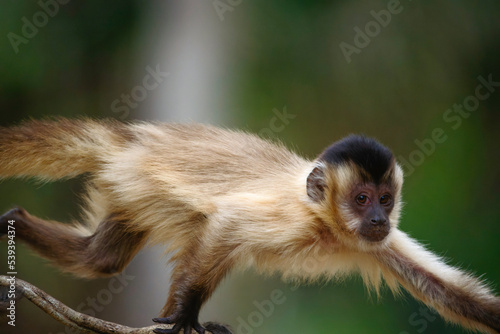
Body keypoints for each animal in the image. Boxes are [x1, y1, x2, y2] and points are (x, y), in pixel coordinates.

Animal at [0, 118, 498, 334]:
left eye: (385, 199)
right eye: (361, 199)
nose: (377, 218)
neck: (325, 223)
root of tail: (131, 138)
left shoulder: (379, 242)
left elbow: (451, 293)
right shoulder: (290, 218)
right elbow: (227, 222)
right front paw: (183, 318)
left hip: (127, 189)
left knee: (100, 258)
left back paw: (14, 223)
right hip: (138, 179)